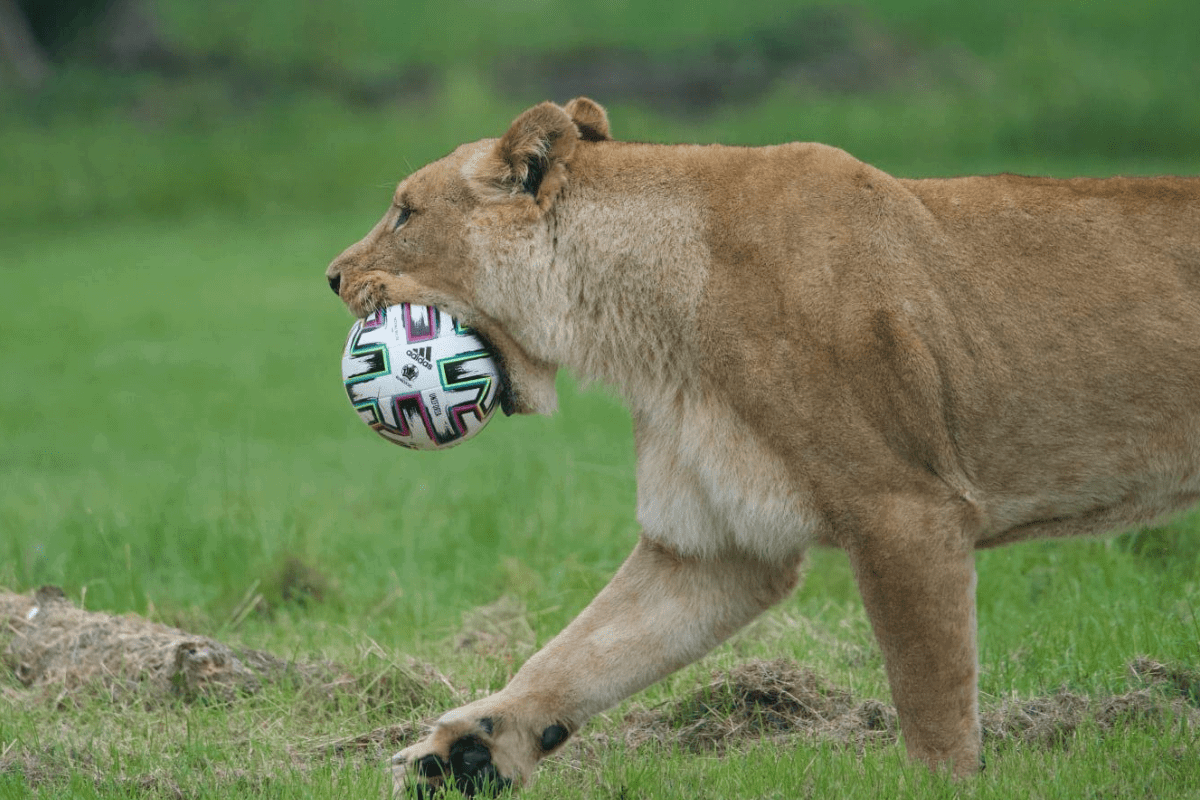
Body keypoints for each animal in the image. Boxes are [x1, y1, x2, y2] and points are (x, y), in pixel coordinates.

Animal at [325, 97, 1200, 796]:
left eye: (405, 213)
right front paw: (463, 753)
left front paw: (940, 784)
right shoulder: (712, 544)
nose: (332, 276)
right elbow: (582, 653)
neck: (635, 321)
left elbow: (932, 695)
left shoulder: (906, 511)